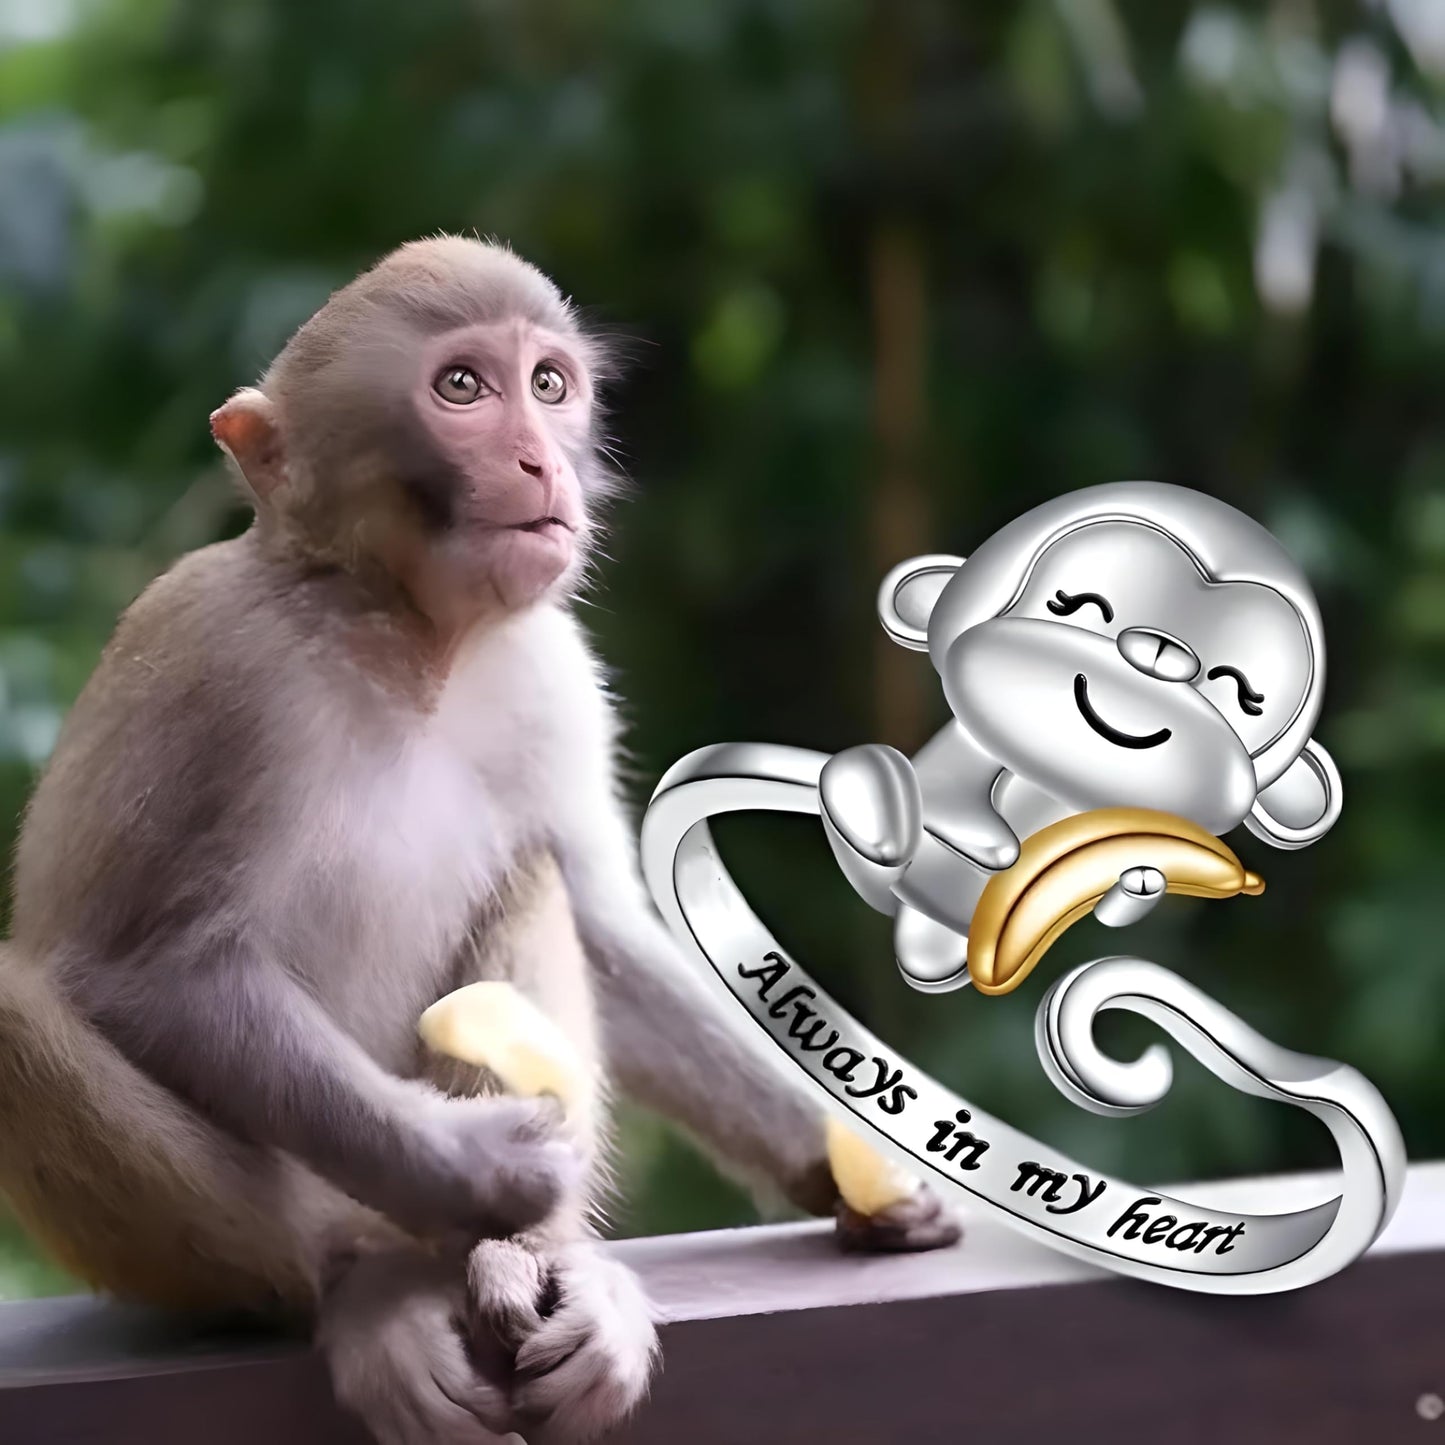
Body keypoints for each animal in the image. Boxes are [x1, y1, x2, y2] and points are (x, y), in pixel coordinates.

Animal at [0, 237, 959, 1445]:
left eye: (548, 384)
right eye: (462, 387)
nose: (540, 460)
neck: (408, 637)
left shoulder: (551, 669)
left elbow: (598, 925)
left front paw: (840, 1152)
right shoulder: (216, 660)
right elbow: (149, 971)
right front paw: (482, 1163)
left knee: (531, 876)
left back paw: (533, 1264)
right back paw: (369, 1280)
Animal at [819, 481, 1342, 992]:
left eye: (1239, 692)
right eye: (1077, 606)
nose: (1160, 653)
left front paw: (1141, 879)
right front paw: (977, 833)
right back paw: (871, 800)